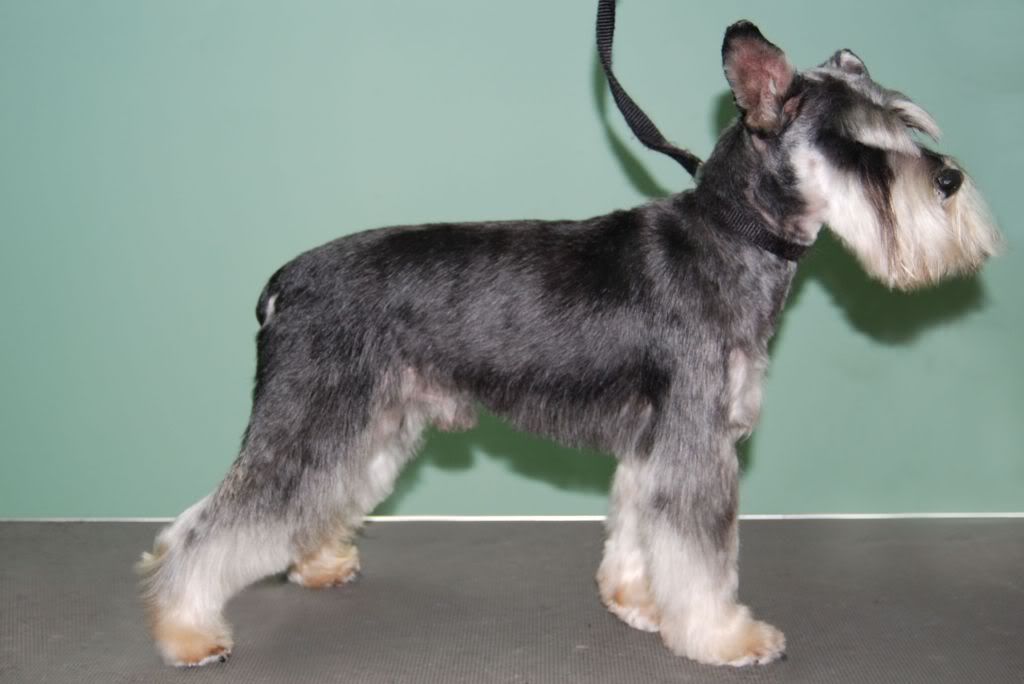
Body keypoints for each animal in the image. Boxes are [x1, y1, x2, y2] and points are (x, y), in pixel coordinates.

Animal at [138, 17, 1001, 668]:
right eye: (856, 143)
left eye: (907, 125)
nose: (949, 180)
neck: (730, 234)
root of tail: (285, 281)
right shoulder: (697, 442)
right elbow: (702, 553)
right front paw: (727, 636)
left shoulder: (657, 443)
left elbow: (639, 530)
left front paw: (636, 601)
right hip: (312, 417)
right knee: (206, 526)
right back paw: (185, 629)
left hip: (371, 424)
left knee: (303, 500)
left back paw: (314, 564)